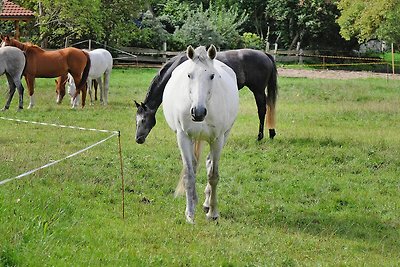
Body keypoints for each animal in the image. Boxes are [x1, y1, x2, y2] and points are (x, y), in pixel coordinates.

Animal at [136, 48, 276, 144]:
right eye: (136, 120)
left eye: (143, 120)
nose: (138, 139)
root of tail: (264, 54)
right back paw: (271, 133)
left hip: (258, 91)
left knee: (262, 111)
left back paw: (260, 136)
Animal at [162, 45, 238, 224]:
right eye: (189, 75)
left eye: (212, 75)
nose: (198, 112)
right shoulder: (183, 137)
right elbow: (189, 175)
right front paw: (190, 214)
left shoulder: (217, 139)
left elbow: (213, 175)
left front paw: (213, 213)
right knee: (194, 166)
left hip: (224, 136)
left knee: (209, 163)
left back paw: (206, 204)